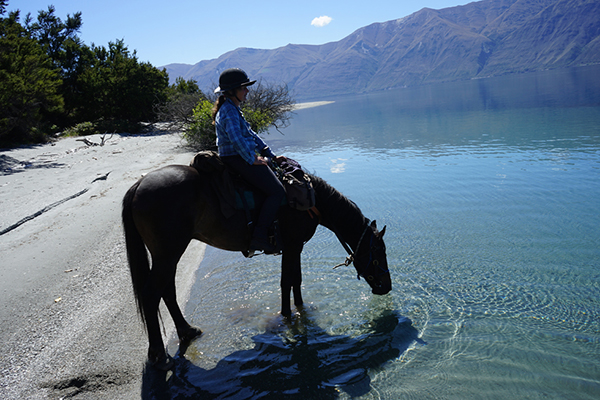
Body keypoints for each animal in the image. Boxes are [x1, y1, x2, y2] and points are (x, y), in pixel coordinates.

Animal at [122, 163, 394, 368]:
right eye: (379, 252)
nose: (387, 286)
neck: (312, 200)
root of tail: (139, 185)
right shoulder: (293, 246)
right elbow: (287, 281)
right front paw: (287, 317)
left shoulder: (296, 247)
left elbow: (296, 280)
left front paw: (301, 310)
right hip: (168, 254)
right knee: (151, 294)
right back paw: (158, 354)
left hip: (167, 255)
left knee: (167, 290)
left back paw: (187, 331)